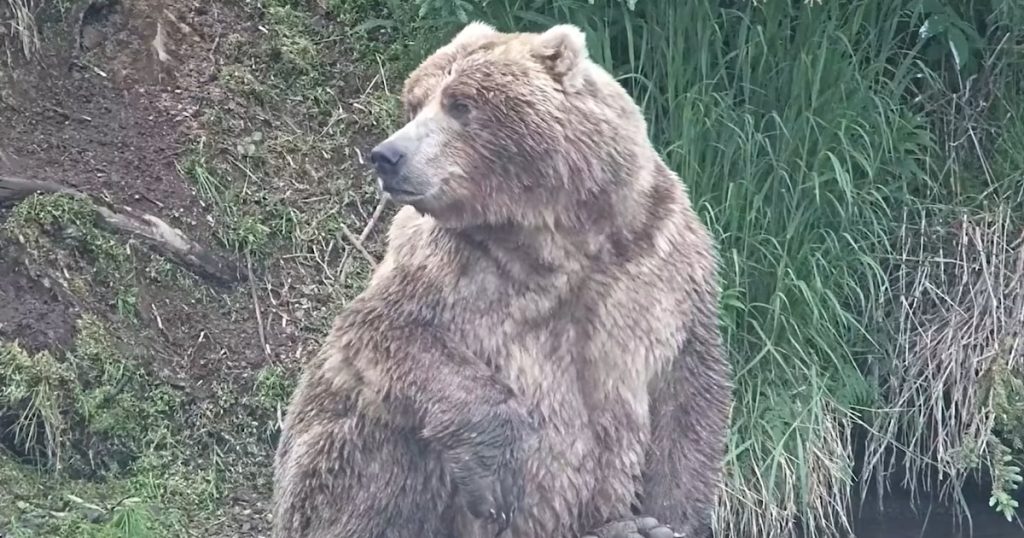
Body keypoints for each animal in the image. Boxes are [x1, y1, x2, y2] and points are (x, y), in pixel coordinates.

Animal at [271, 20, 732, 538]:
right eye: (414, 101)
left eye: (459, 103)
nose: (386, 155)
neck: (556, 238)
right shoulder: (450, 265)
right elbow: (383, 331)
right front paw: (497, 468)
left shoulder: (658, 259)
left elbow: (688, 393)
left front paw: (670, 520)